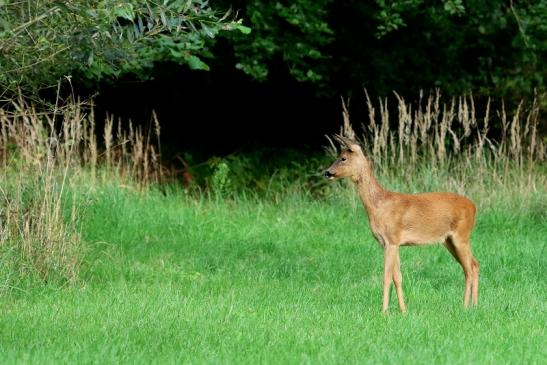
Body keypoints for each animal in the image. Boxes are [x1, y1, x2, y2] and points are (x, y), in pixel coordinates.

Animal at [326, 135, 480, 312]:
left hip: (461, 235)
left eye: (343, 158)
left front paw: (384, 311)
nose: (327, 172)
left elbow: (386, 277)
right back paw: (474, 305)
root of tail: (474, 207)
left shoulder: (392, 239)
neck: (379, 206)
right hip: (449, 240)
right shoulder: (390, 243)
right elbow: (397, 277)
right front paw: (403, 310)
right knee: (473, 265)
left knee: (470, 267)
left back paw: (466, 306)